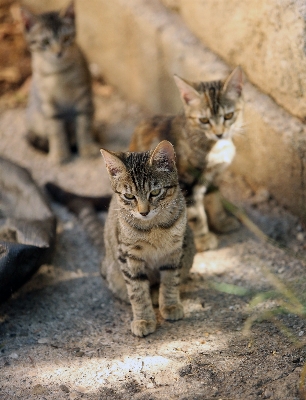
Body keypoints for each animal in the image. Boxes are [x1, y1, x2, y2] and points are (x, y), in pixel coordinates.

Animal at [20, 1, 97, 164]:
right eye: (45, 42)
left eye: (66, 38)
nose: (59, 52)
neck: (58, 71)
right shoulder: (48, 102)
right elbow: (55, 129)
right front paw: (59, 153)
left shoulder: (83, 96)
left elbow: (83, 124)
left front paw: (87, 147)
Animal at [101, 141, 195, 338]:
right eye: (129, 196)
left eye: (155, 192)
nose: (143, 212)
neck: (154, 227)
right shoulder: (127, 255)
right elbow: (137, 291)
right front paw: (143, 319)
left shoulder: (175, 250)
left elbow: (170, 279)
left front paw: (170, 305)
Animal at [130, 67, 244, 252]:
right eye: (204, 120)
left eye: (229, 115)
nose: (219, 134)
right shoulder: (186, 183)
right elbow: (196, 213)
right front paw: (203, 238)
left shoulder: (213, 176)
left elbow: (214, 198)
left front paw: (221, 222)